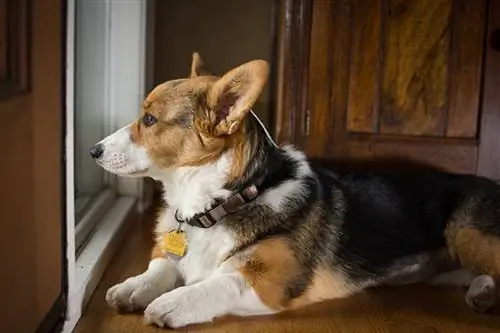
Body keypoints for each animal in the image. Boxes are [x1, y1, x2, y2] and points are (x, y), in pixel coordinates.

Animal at [90, 52, 500, 326]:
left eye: (149, 119)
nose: (93, 151)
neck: (221, 202)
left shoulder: (269, 282)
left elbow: (218, 283)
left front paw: (172, 302)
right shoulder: (174, 251)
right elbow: (162, 265)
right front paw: (133, 286)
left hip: (466, 232)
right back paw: (482, 293)